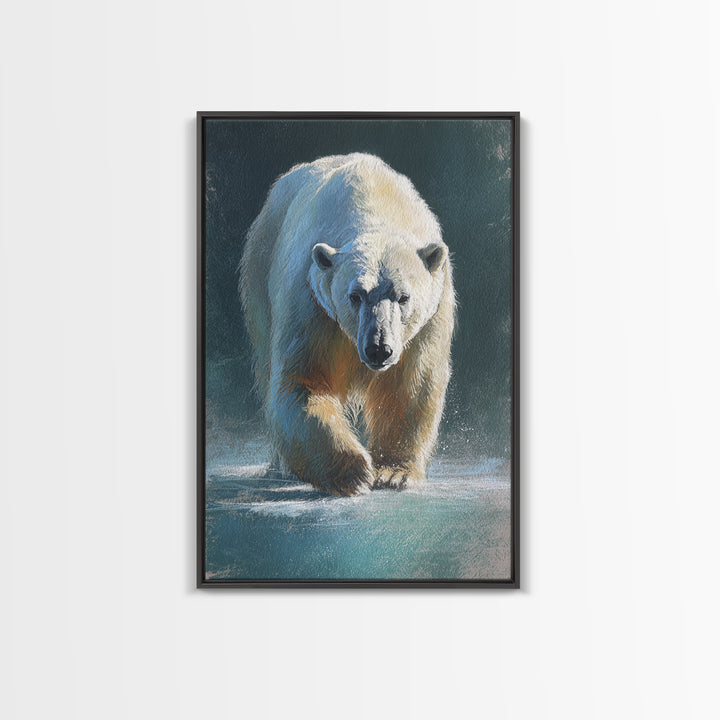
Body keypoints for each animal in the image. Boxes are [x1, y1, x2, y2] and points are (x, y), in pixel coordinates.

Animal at [239, 153, 455, 496]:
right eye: (355, 295)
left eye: (403, 296)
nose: (379, 348)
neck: (375, 206)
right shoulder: (312, 302)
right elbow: (303, 383)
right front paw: (354, 472)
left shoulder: (431, 316)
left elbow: (411, 386)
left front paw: (393, 473)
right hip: (260, 265)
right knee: (264, 360)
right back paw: (279, 467)